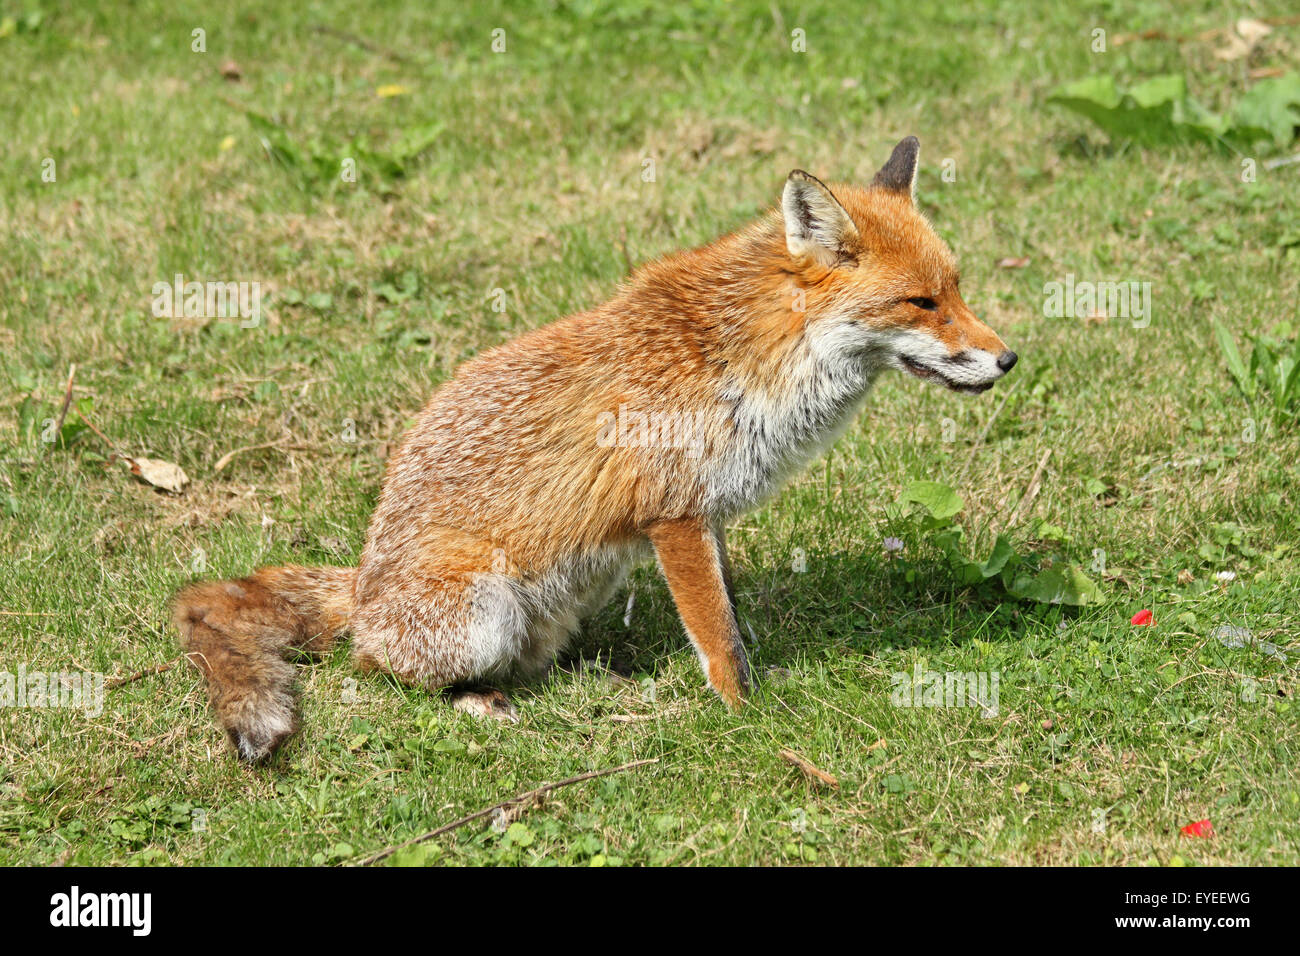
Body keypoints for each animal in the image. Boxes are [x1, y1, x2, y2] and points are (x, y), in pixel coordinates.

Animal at [172, 136, 1019, 764]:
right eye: (921, 303)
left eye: (958, 289)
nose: (1009, 359)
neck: (750, 358)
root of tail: (361, 583)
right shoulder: (675, 516)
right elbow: (716, 638)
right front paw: (746, 715)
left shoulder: (709, 517)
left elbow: (731, 619)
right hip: (480, 612)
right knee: (375, 667)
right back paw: (476, 700)